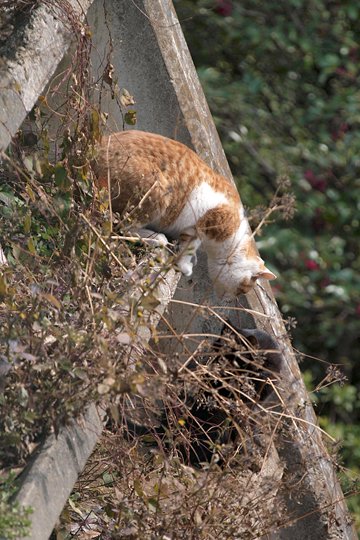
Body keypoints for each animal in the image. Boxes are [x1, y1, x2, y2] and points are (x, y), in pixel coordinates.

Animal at [93, 131, 276, 300]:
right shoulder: (202, 224)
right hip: (156, 190)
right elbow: (189, 246)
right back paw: (157, 238)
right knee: (124, 227)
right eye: (241, 290)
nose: (230, 298)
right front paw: (185, 265)